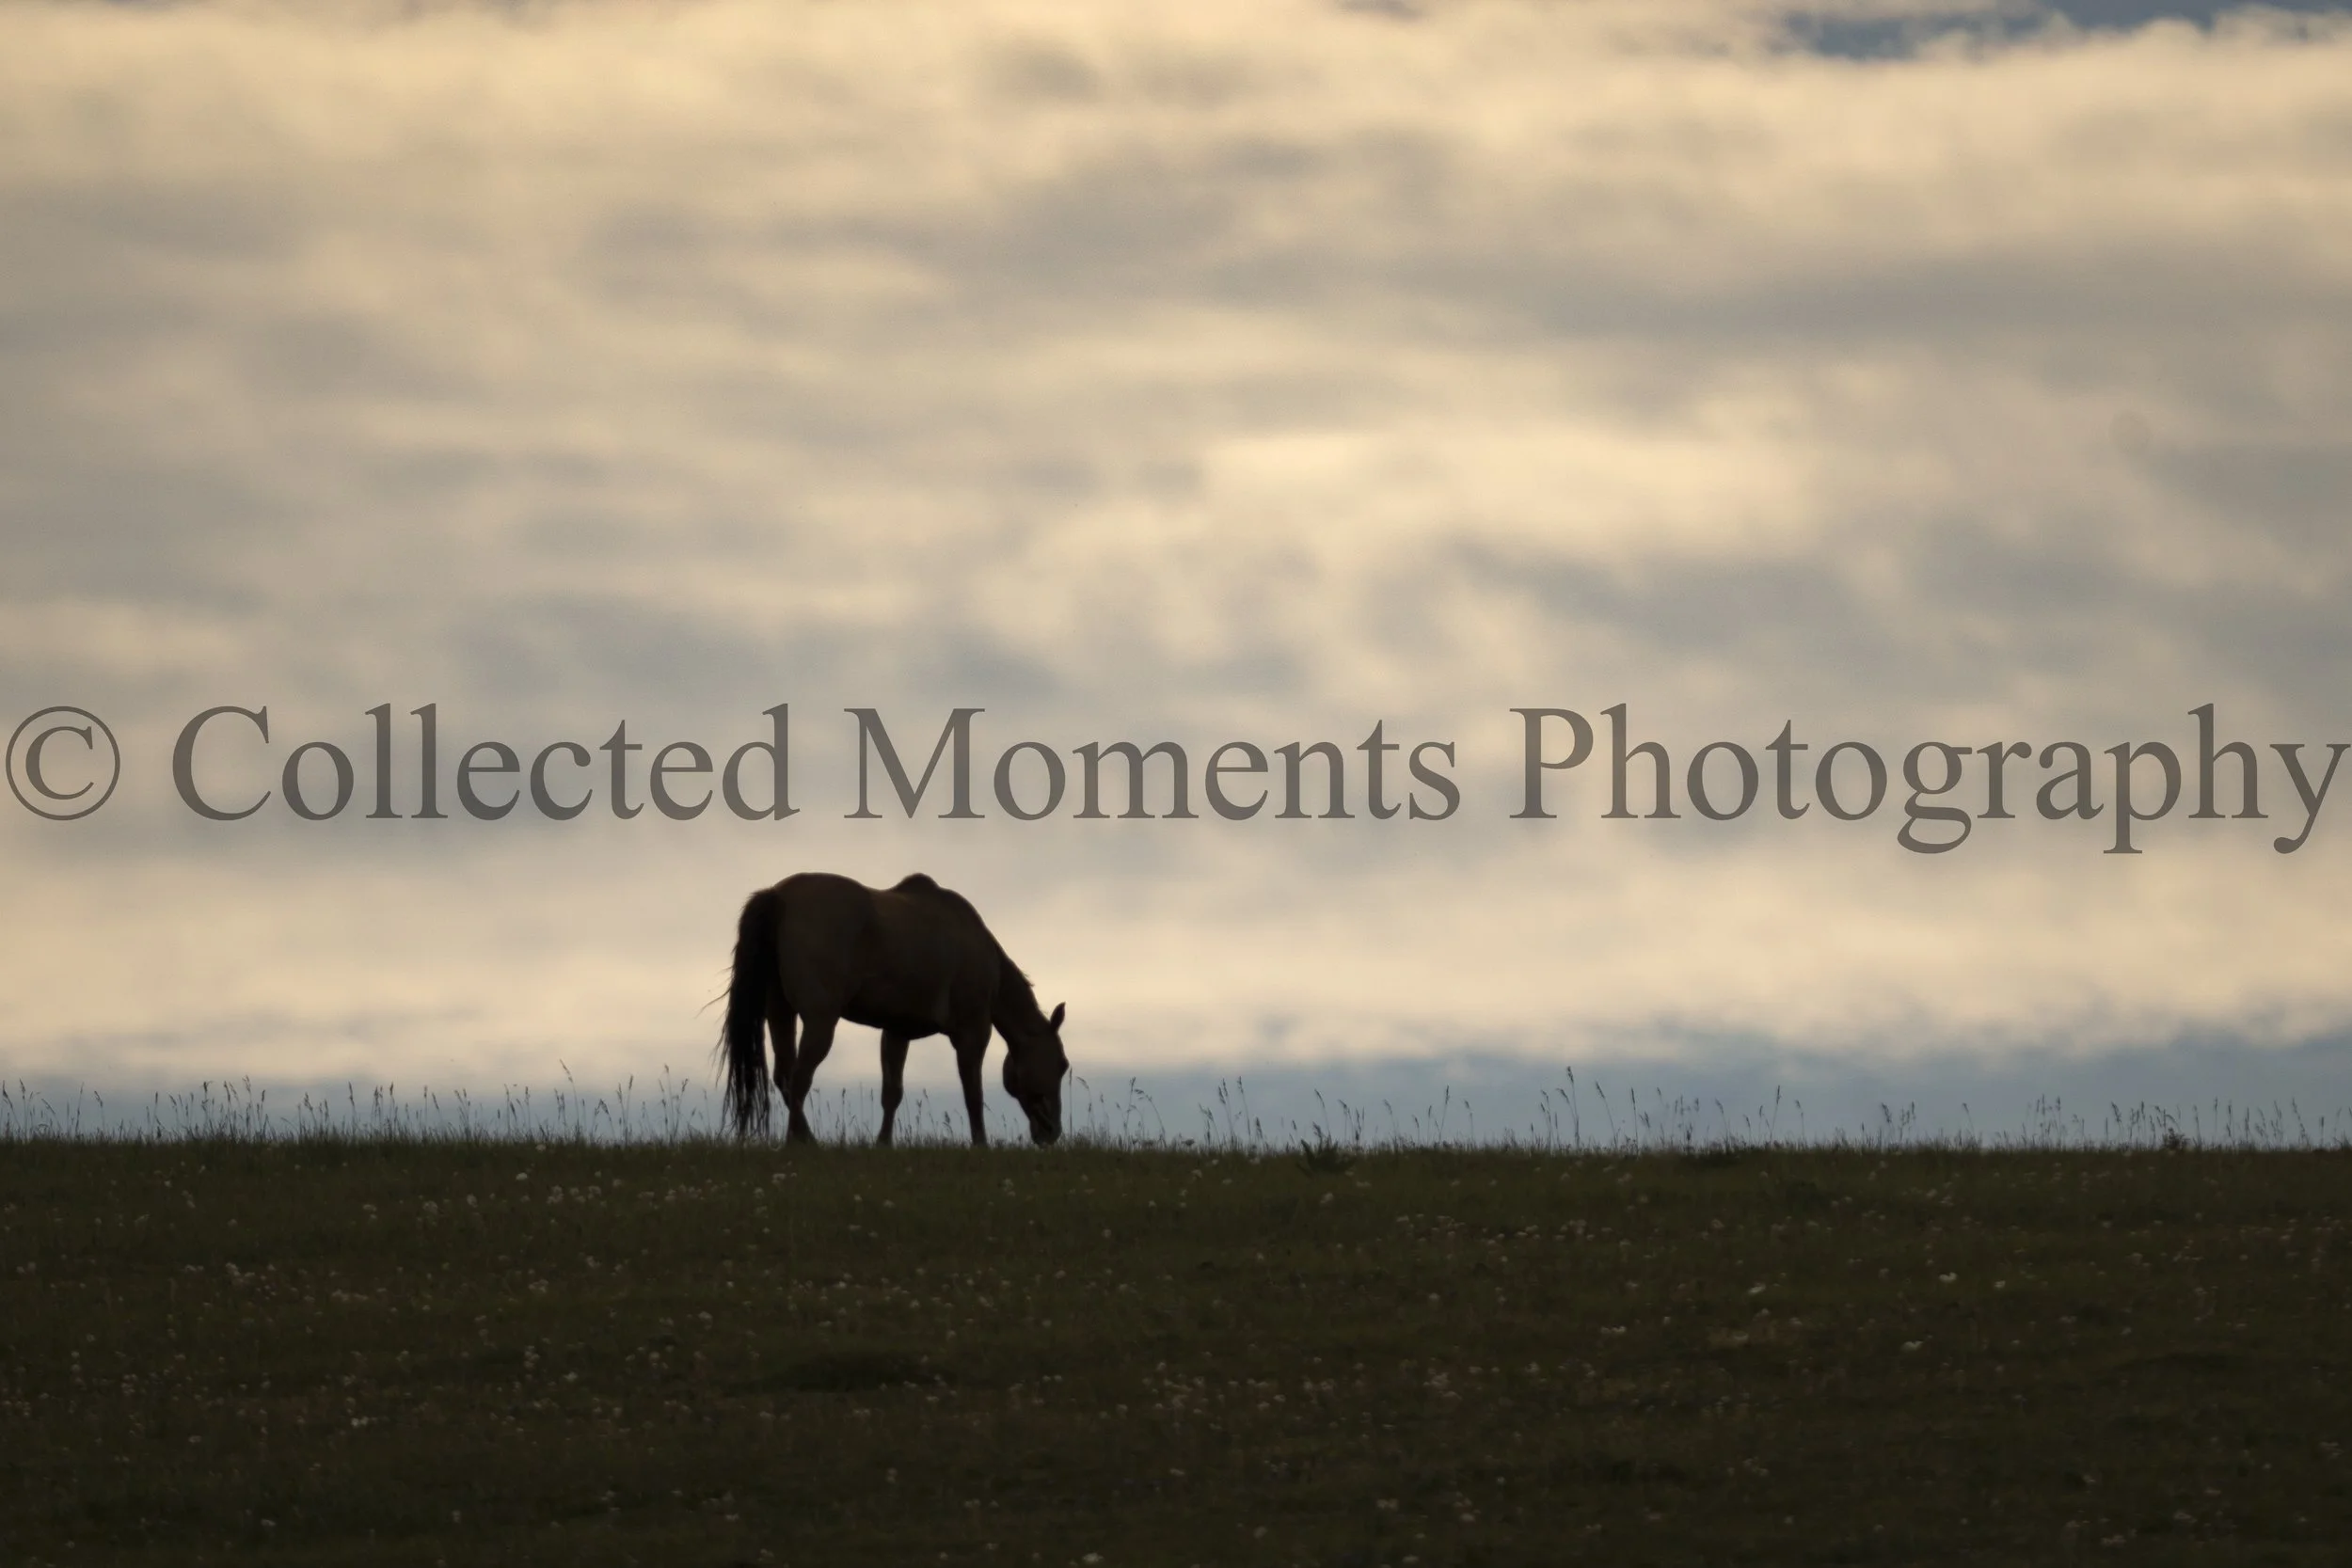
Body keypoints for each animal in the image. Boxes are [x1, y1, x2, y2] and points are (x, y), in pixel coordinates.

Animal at [719, 872, 1069, 1146]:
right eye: (1063, 1065)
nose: (1052, 1133)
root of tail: (778, 897)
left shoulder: (897, 1032)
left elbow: (892, 1093)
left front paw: (884, 1143)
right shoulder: (973, 1032)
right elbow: (973, 1093)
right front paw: (980, 1144)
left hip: (780, 1013)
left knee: (785, 1076)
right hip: (820, 1022)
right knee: (799, 1077)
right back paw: (798, 1143)